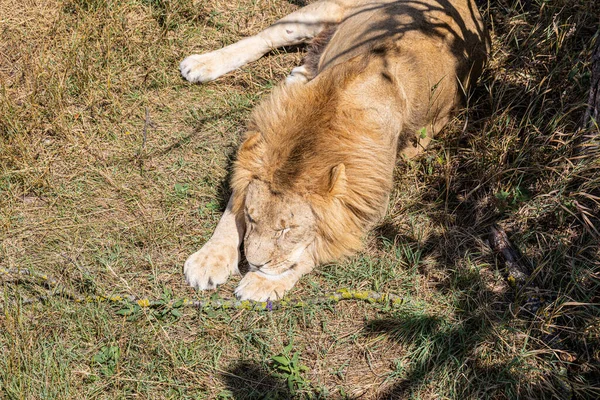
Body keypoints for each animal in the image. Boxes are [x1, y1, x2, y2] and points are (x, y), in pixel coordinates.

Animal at [180, 0, 490, 300]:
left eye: (287, 230)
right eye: (252, 217)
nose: (255, 264)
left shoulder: (367, 203)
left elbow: (313, 251)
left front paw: (263, 282)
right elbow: (230, 213)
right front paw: (209, 259)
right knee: (265, 38)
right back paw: (201, 64)